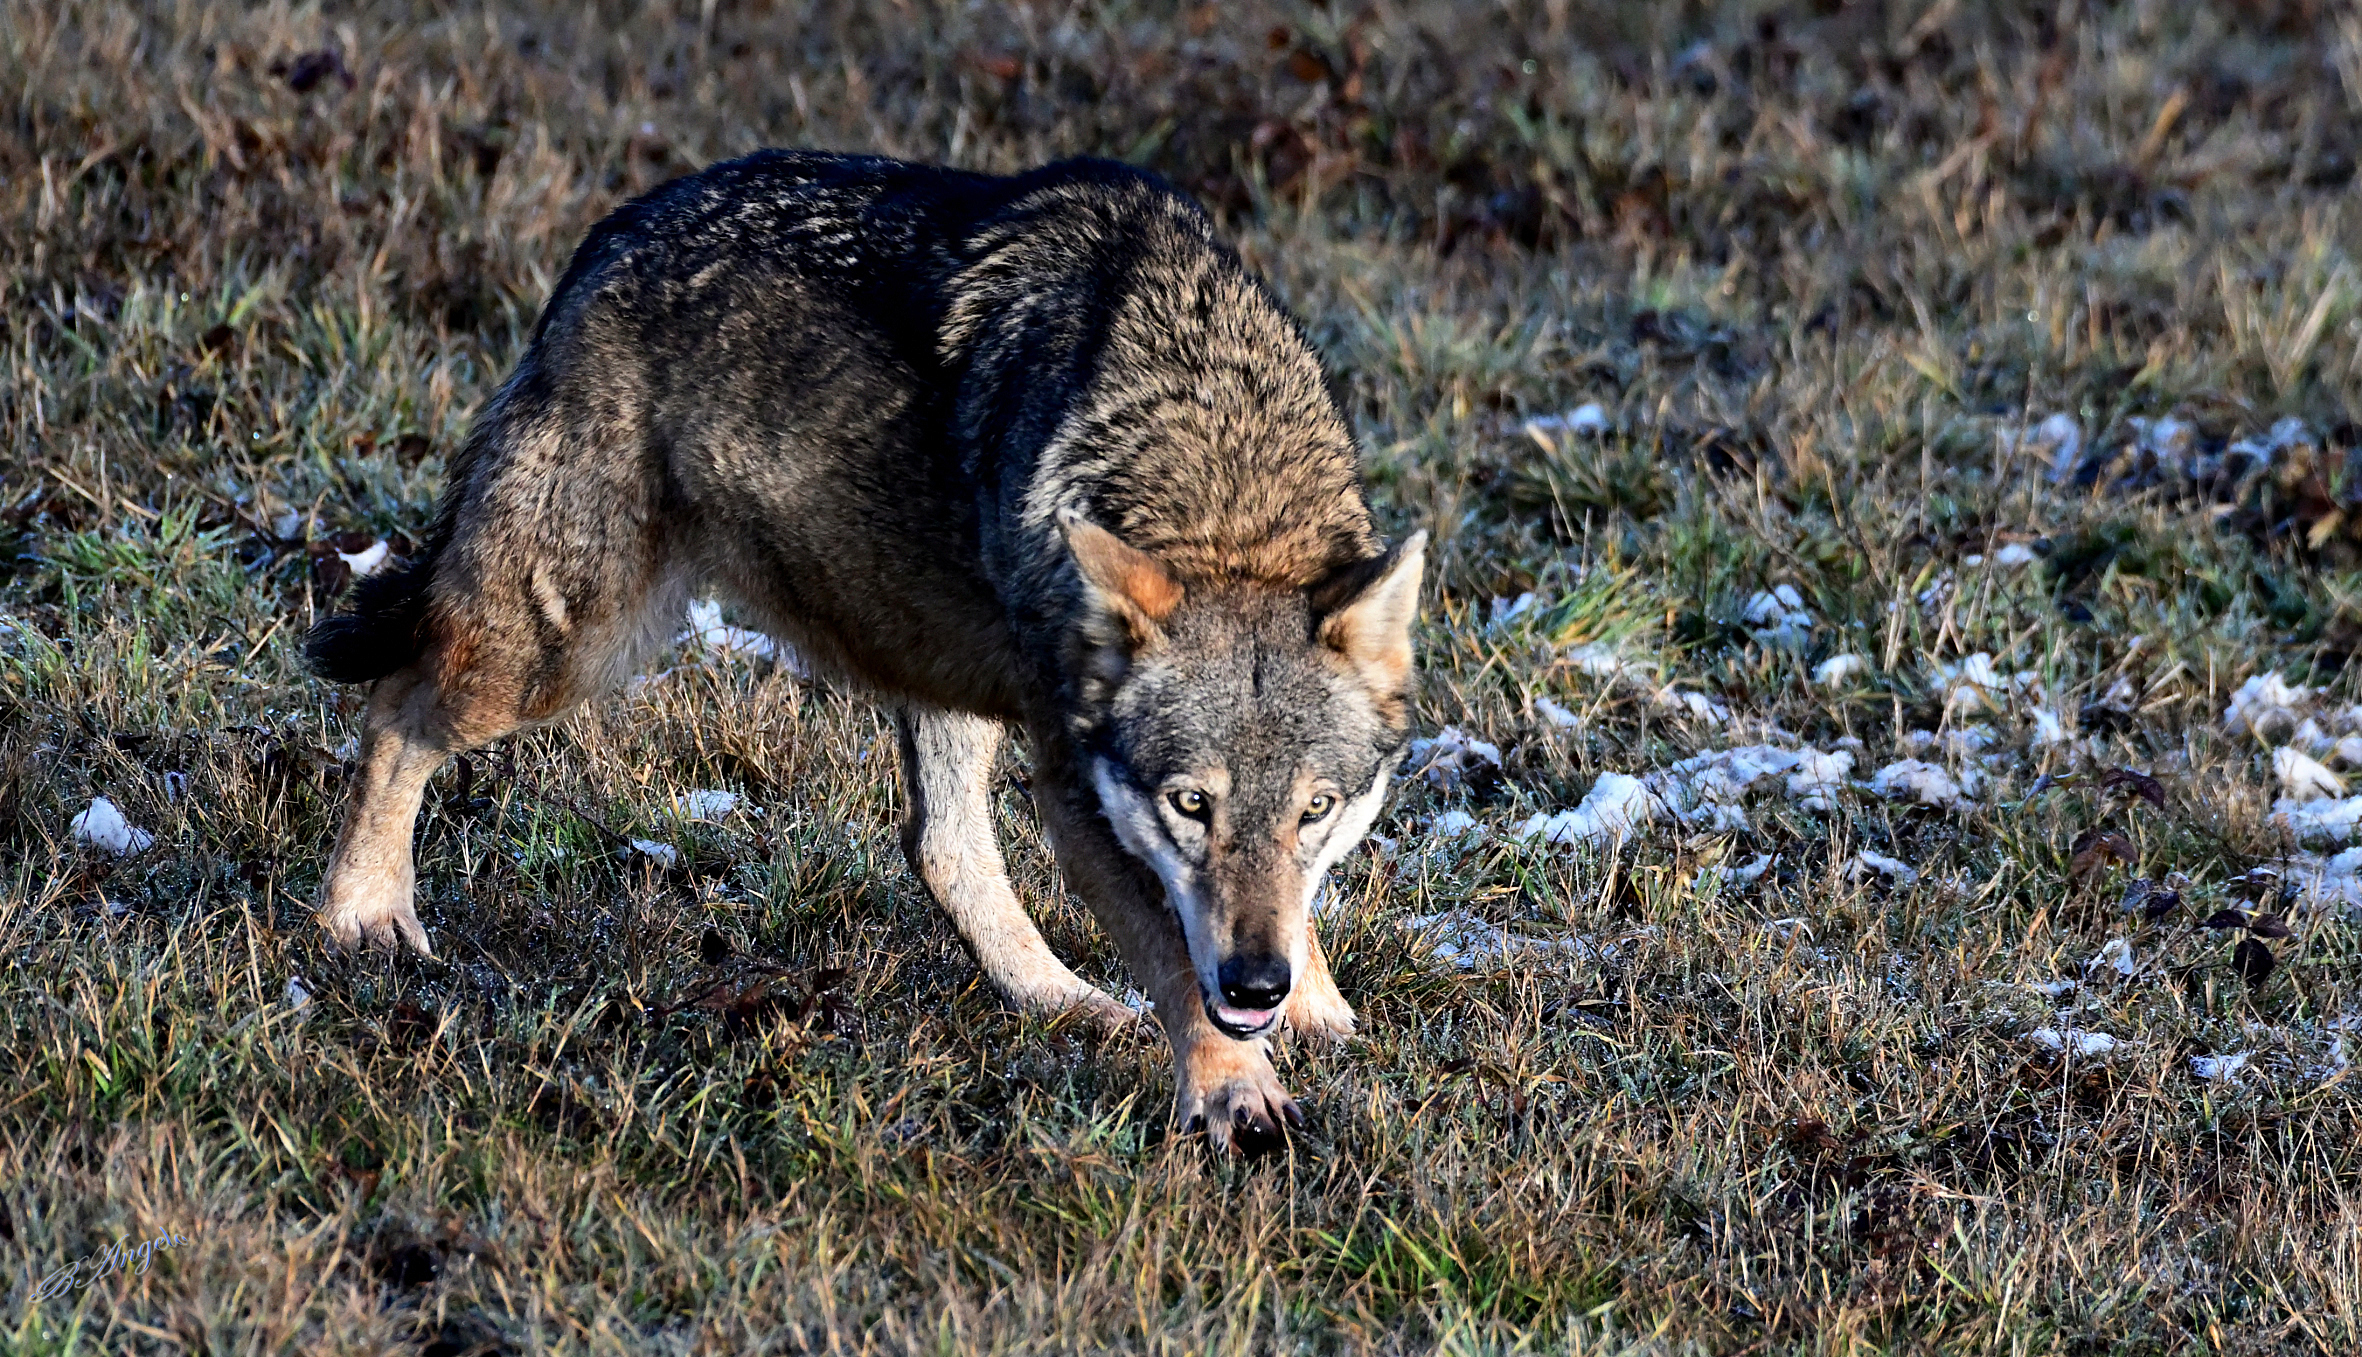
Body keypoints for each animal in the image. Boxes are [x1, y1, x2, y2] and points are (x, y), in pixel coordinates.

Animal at [305, 150, 1425, 1149]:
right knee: (393, 709)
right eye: (1190, 805)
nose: (1255, 984)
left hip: (933, 659)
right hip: (564, 648)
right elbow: (1177, 960)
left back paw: (1060, 999)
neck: (1222, 487)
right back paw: (364, 917)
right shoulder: (1079, 790)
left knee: (936, 846)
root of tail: (608, 233)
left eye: (1315, 810)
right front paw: (1237, 1089)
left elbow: (1285, 911)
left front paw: (1310, 1010)